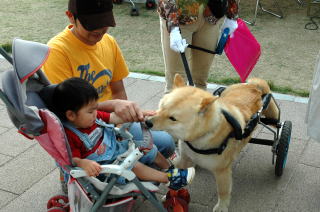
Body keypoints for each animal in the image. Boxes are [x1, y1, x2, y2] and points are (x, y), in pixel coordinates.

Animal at [146, 73, 278, 211]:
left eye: (173, 118)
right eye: (161, 106)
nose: (147, 122)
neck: (199, 137)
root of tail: (253, 86)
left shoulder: (222, 171)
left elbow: (223, 192)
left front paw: (222, 207)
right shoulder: (185, 158)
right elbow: (176, 174)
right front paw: (172, 193)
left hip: (273, 116)